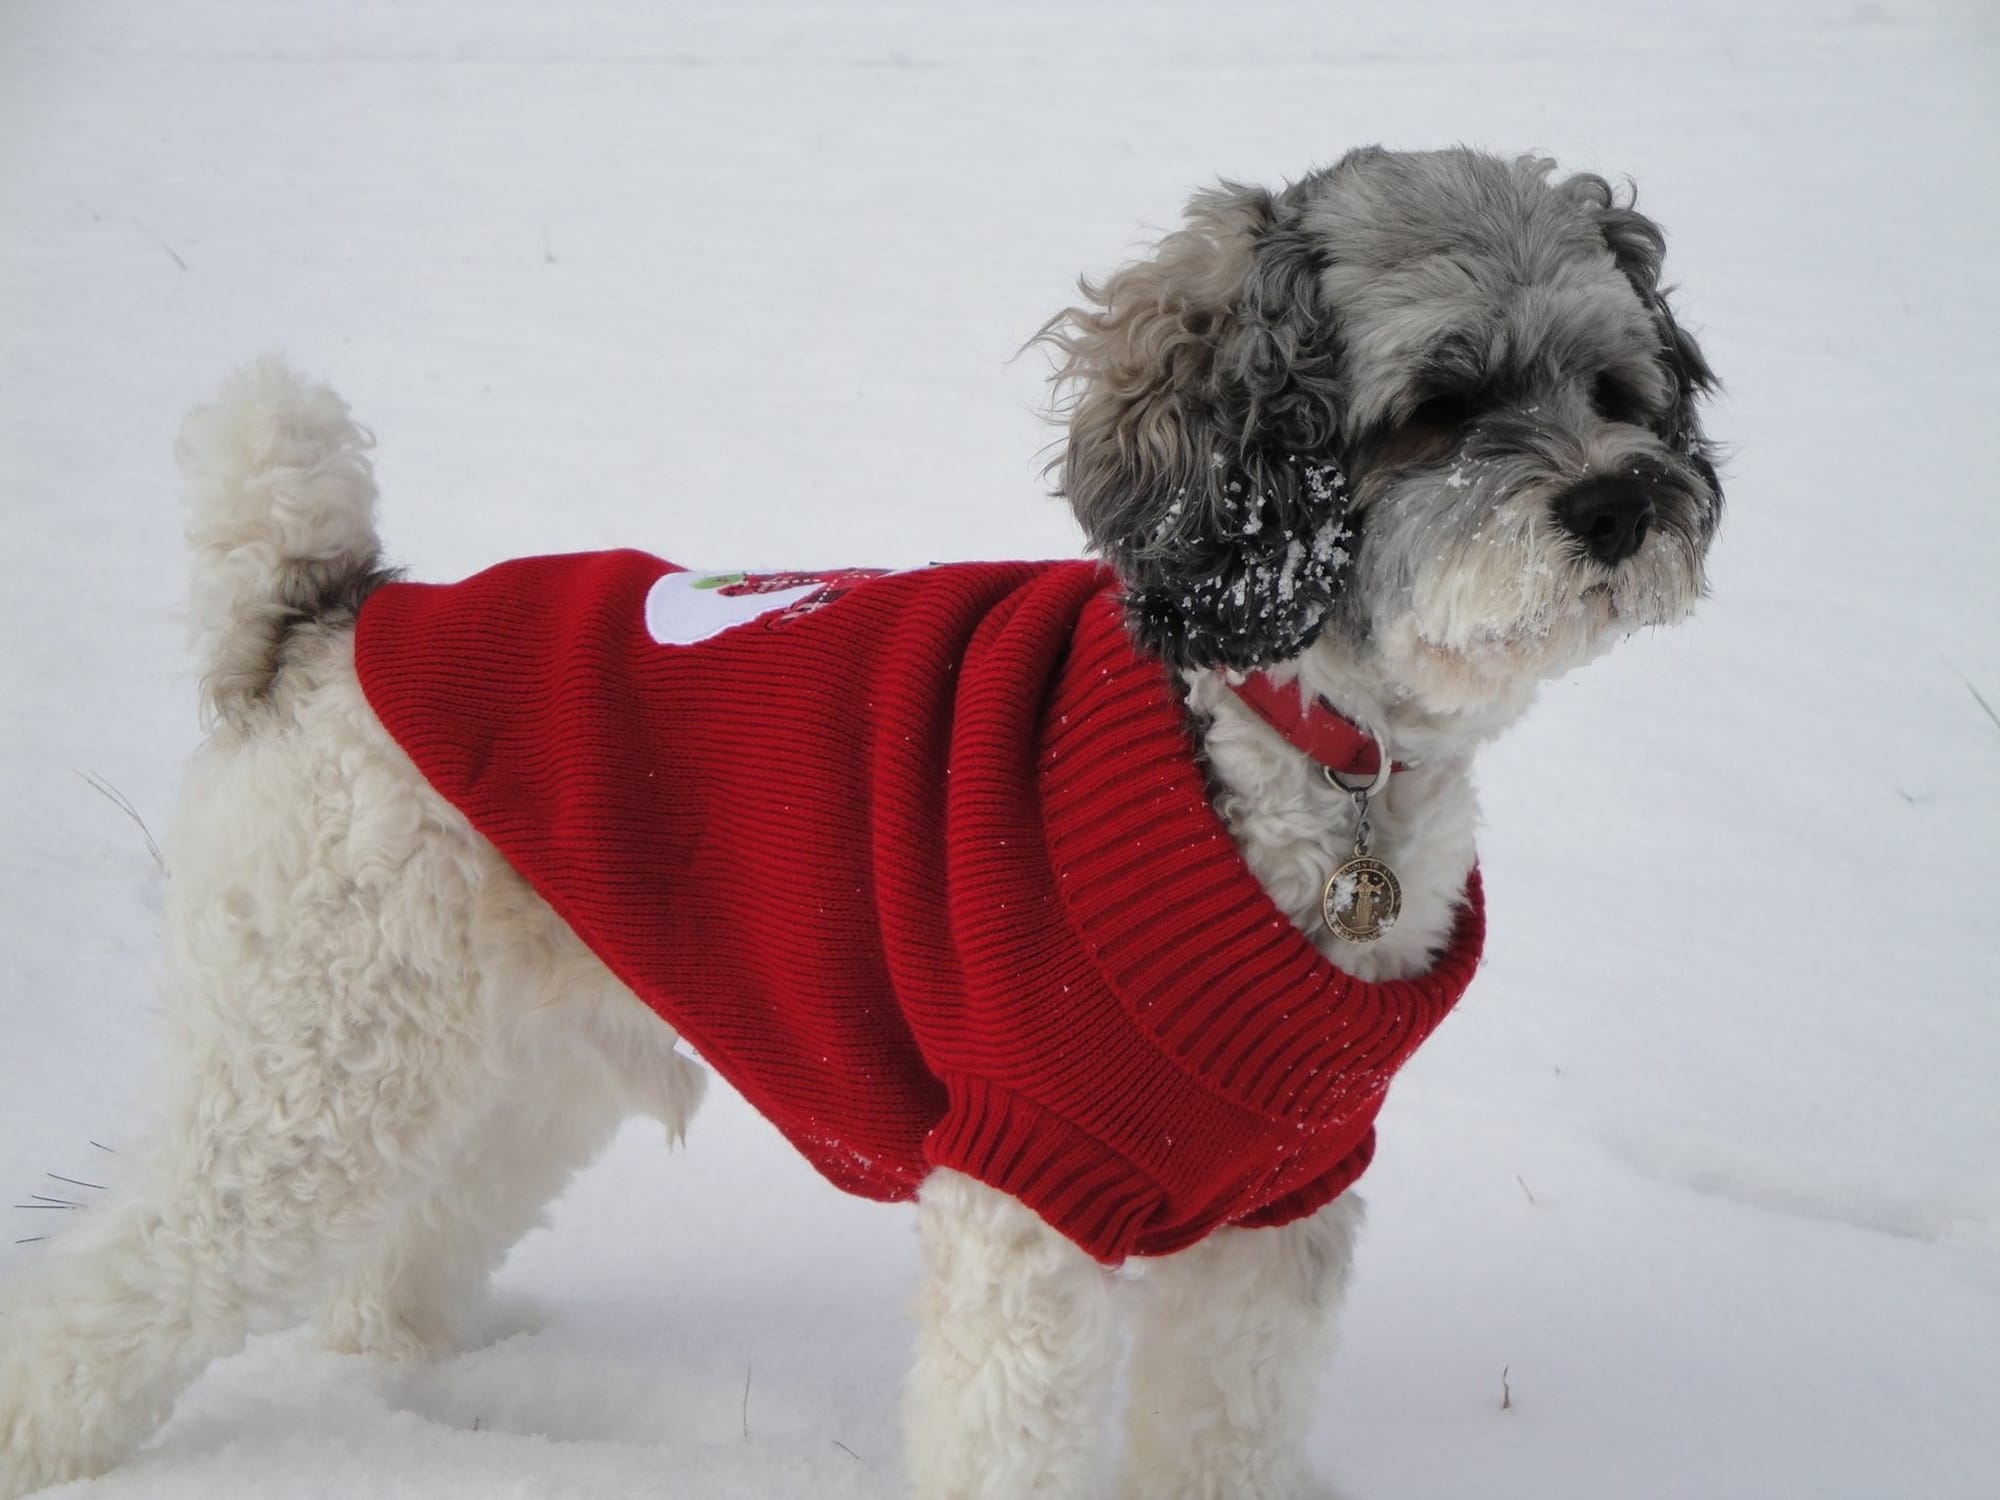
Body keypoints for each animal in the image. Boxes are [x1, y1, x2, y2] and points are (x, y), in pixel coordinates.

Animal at [0, 144, 1720, 1500]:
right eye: (1436, 406)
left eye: (1615, 391)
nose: (1624, 505)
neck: (1290, 750)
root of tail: (327, 610)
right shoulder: (1030, 1195)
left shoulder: (1279, 1216)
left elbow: (1222, 1438)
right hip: (305, 1070)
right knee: (115, 1290)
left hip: (516, 1072)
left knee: (387, 1280)